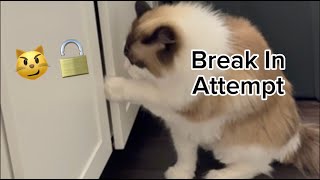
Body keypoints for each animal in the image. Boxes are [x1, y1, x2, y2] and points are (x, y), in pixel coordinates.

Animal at [104, 1, 318, 179]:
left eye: (134, 60)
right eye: (124, 53)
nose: (125, 65)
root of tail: (295, 137)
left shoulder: (176, 99)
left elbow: (138, 89)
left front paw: (110, 85)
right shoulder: (181, 126)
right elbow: (185, 156)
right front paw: (180, 174)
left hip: (228, 146)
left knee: (258, 166)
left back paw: (218, 175)